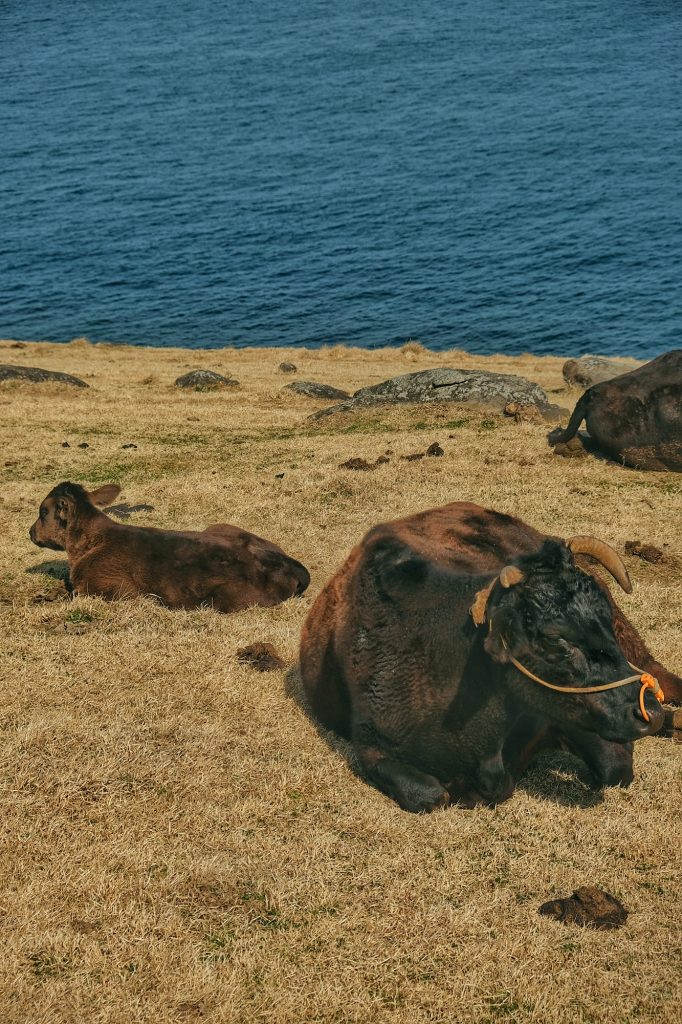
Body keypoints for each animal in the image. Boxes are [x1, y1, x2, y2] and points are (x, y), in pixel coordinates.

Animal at [300, 502, 678, 813]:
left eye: (604, 622)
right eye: (554, 638)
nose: (650, 713)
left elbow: (617, 769)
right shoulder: (370, 744)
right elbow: (430, 795)